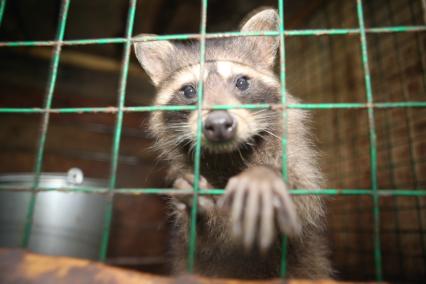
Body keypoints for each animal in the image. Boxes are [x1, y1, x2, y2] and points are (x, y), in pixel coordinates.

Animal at [133, 8, 332, 280]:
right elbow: (202, 240)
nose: (218, 124)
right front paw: (196, 205)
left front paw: (265, 176)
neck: (228, 156)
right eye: (189, 91)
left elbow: (302, 203)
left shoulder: (293, 153)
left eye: (242, 82)